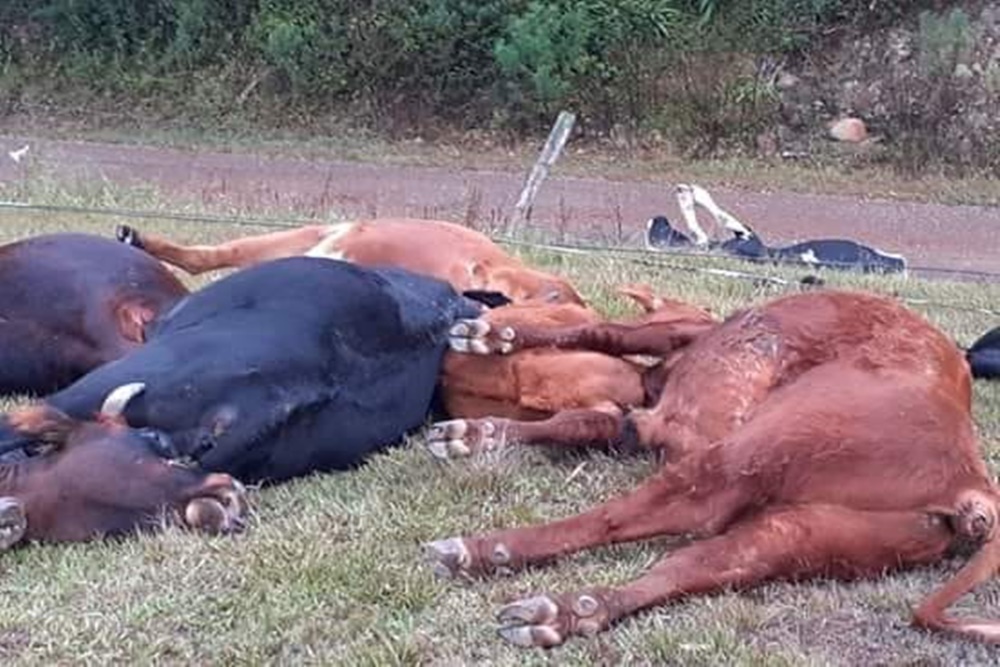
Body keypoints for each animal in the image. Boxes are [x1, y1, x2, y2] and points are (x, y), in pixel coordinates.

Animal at [424, 290, 1000, 648]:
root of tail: (971, 482)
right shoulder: (639, 421)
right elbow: (584, 419)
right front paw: (478, 432)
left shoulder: (674, 340)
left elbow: (605, 332)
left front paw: (494, 336)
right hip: (796, 534)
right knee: (688, 567)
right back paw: (572, 612)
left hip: (748, 453)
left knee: (636, 515)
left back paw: (484, 549)